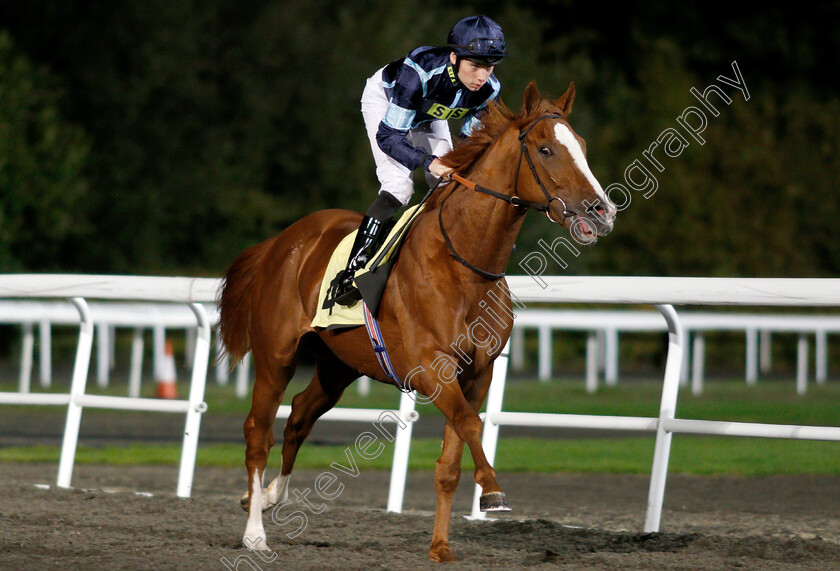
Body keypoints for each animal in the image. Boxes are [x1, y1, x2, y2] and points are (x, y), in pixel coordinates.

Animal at [217, 81, 616, 564]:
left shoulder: (476, 375)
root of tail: (281, 241)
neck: (463, 263)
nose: (601, 210)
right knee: (258, 432)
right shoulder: (432, 369)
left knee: (298, 416)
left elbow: (451, 459)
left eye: (582, 146)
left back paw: (270, 496)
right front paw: (492, 491)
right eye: (546, 149)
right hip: (276, 355)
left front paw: (440, 546)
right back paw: (255, 533)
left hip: (339, 365)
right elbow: (471, 425)